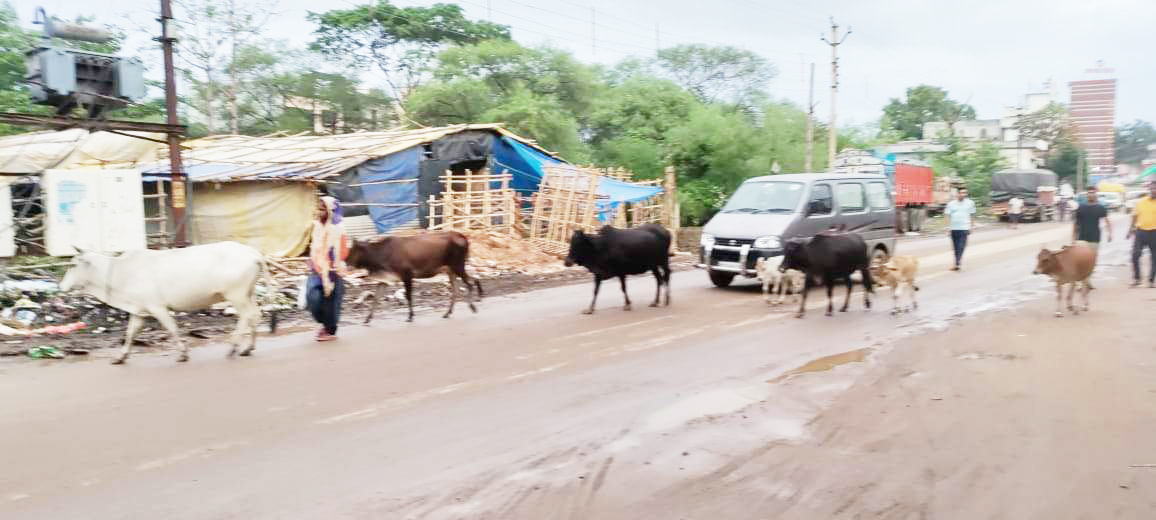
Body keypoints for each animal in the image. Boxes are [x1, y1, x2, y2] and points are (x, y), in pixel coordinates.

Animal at [59, 241, 276, 362]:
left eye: (73, 264)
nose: (61, 286)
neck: (118, 271)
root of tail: (253, 253)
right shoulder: (138, 310)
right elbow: (130, 333)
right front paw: (121, 357)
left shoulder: (157, 307)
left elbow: (172, 328)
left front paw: (183, 354)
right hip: (247, 294)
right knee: (255, 316)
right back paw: (247, 348)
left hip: (236, 294)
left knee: (248, 315)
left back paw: (234, 347)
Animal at [346, 231, 483, 321]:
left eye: (353, 250)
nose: (346, 262)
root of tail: (461, 236)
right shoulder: (384, 280)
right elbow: (376, 298)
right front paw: (367, 319)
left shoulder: (407, 275)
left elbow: (408, 296)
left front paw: (410, 316)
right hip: (451, 270)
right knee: (460, 287)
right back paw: (448, 313)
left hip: (457, 266)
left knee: (469, 283)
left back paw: (472, 306)